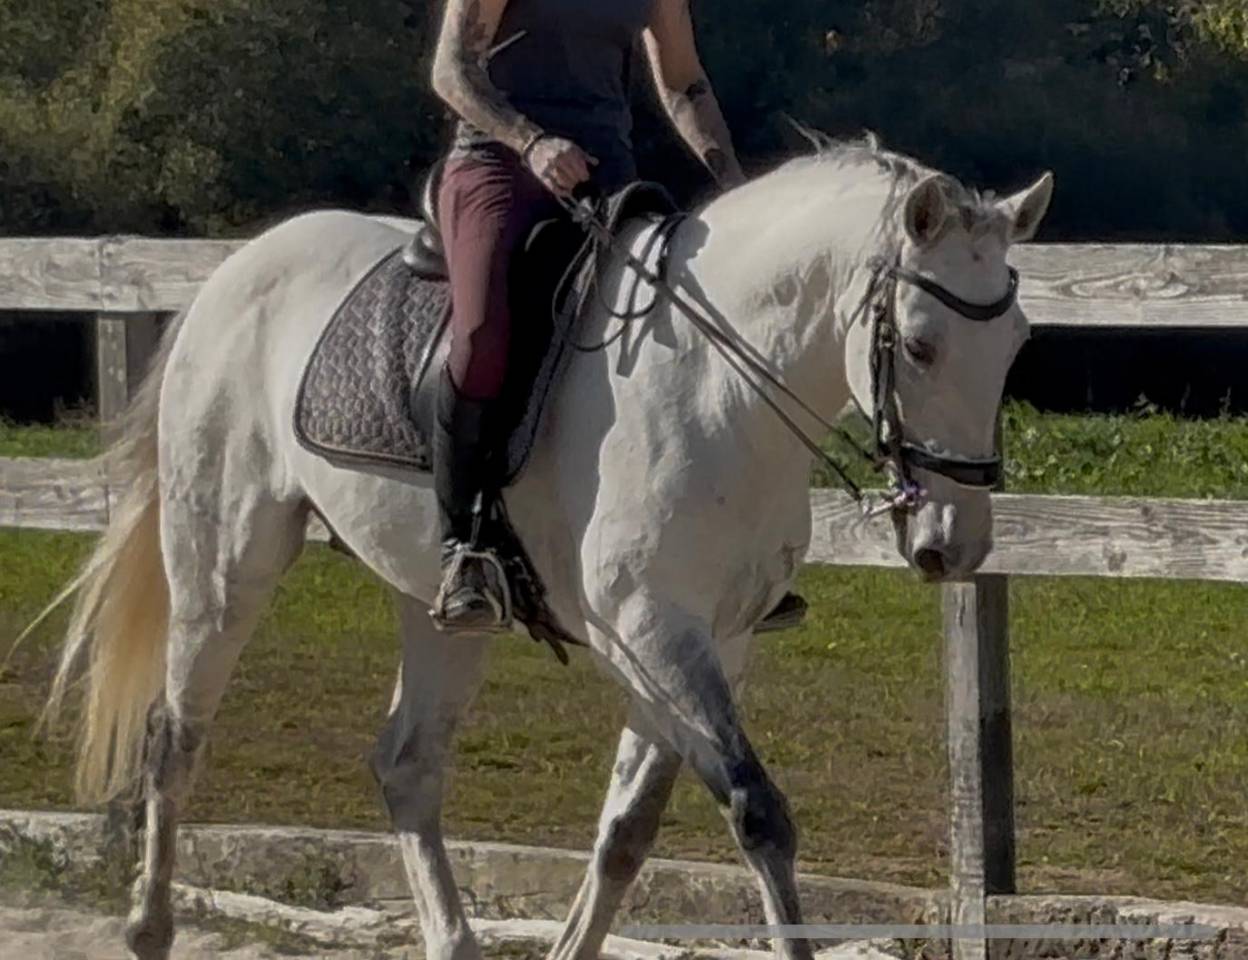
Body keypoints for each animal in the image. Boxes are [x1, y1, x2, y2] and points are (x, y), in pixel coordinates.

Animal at [40, 137, 1052, 960]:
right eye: (918, 345)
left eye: (1016, 343)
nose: (955, 542)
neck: (718, 390)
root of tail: (237, 268)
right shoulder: (652, 631)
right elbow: (757, 811)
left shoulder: (712, 641)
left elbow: (628, 830)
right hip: (225, 559)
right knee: (175, 736)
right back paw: (149, 928)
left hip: (437, 608)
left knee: (407, 766)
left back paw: (451, 940)